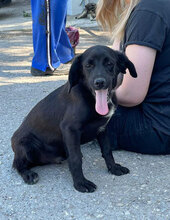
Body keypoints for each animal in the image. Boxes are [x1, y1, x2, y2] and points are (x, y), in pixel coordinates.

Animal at [11, 45, 137, 192]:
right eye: (88, 65)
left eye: (109, 64)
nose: (99, 82)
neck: (91, 98)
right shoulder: (70, 129)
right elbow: (76, 158)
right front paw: (80, 182)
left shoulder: (103, 128)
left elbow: (107, 150)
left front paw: (113, 168)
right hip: (26, 145)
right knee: (17, 164)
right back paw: (28, 174)